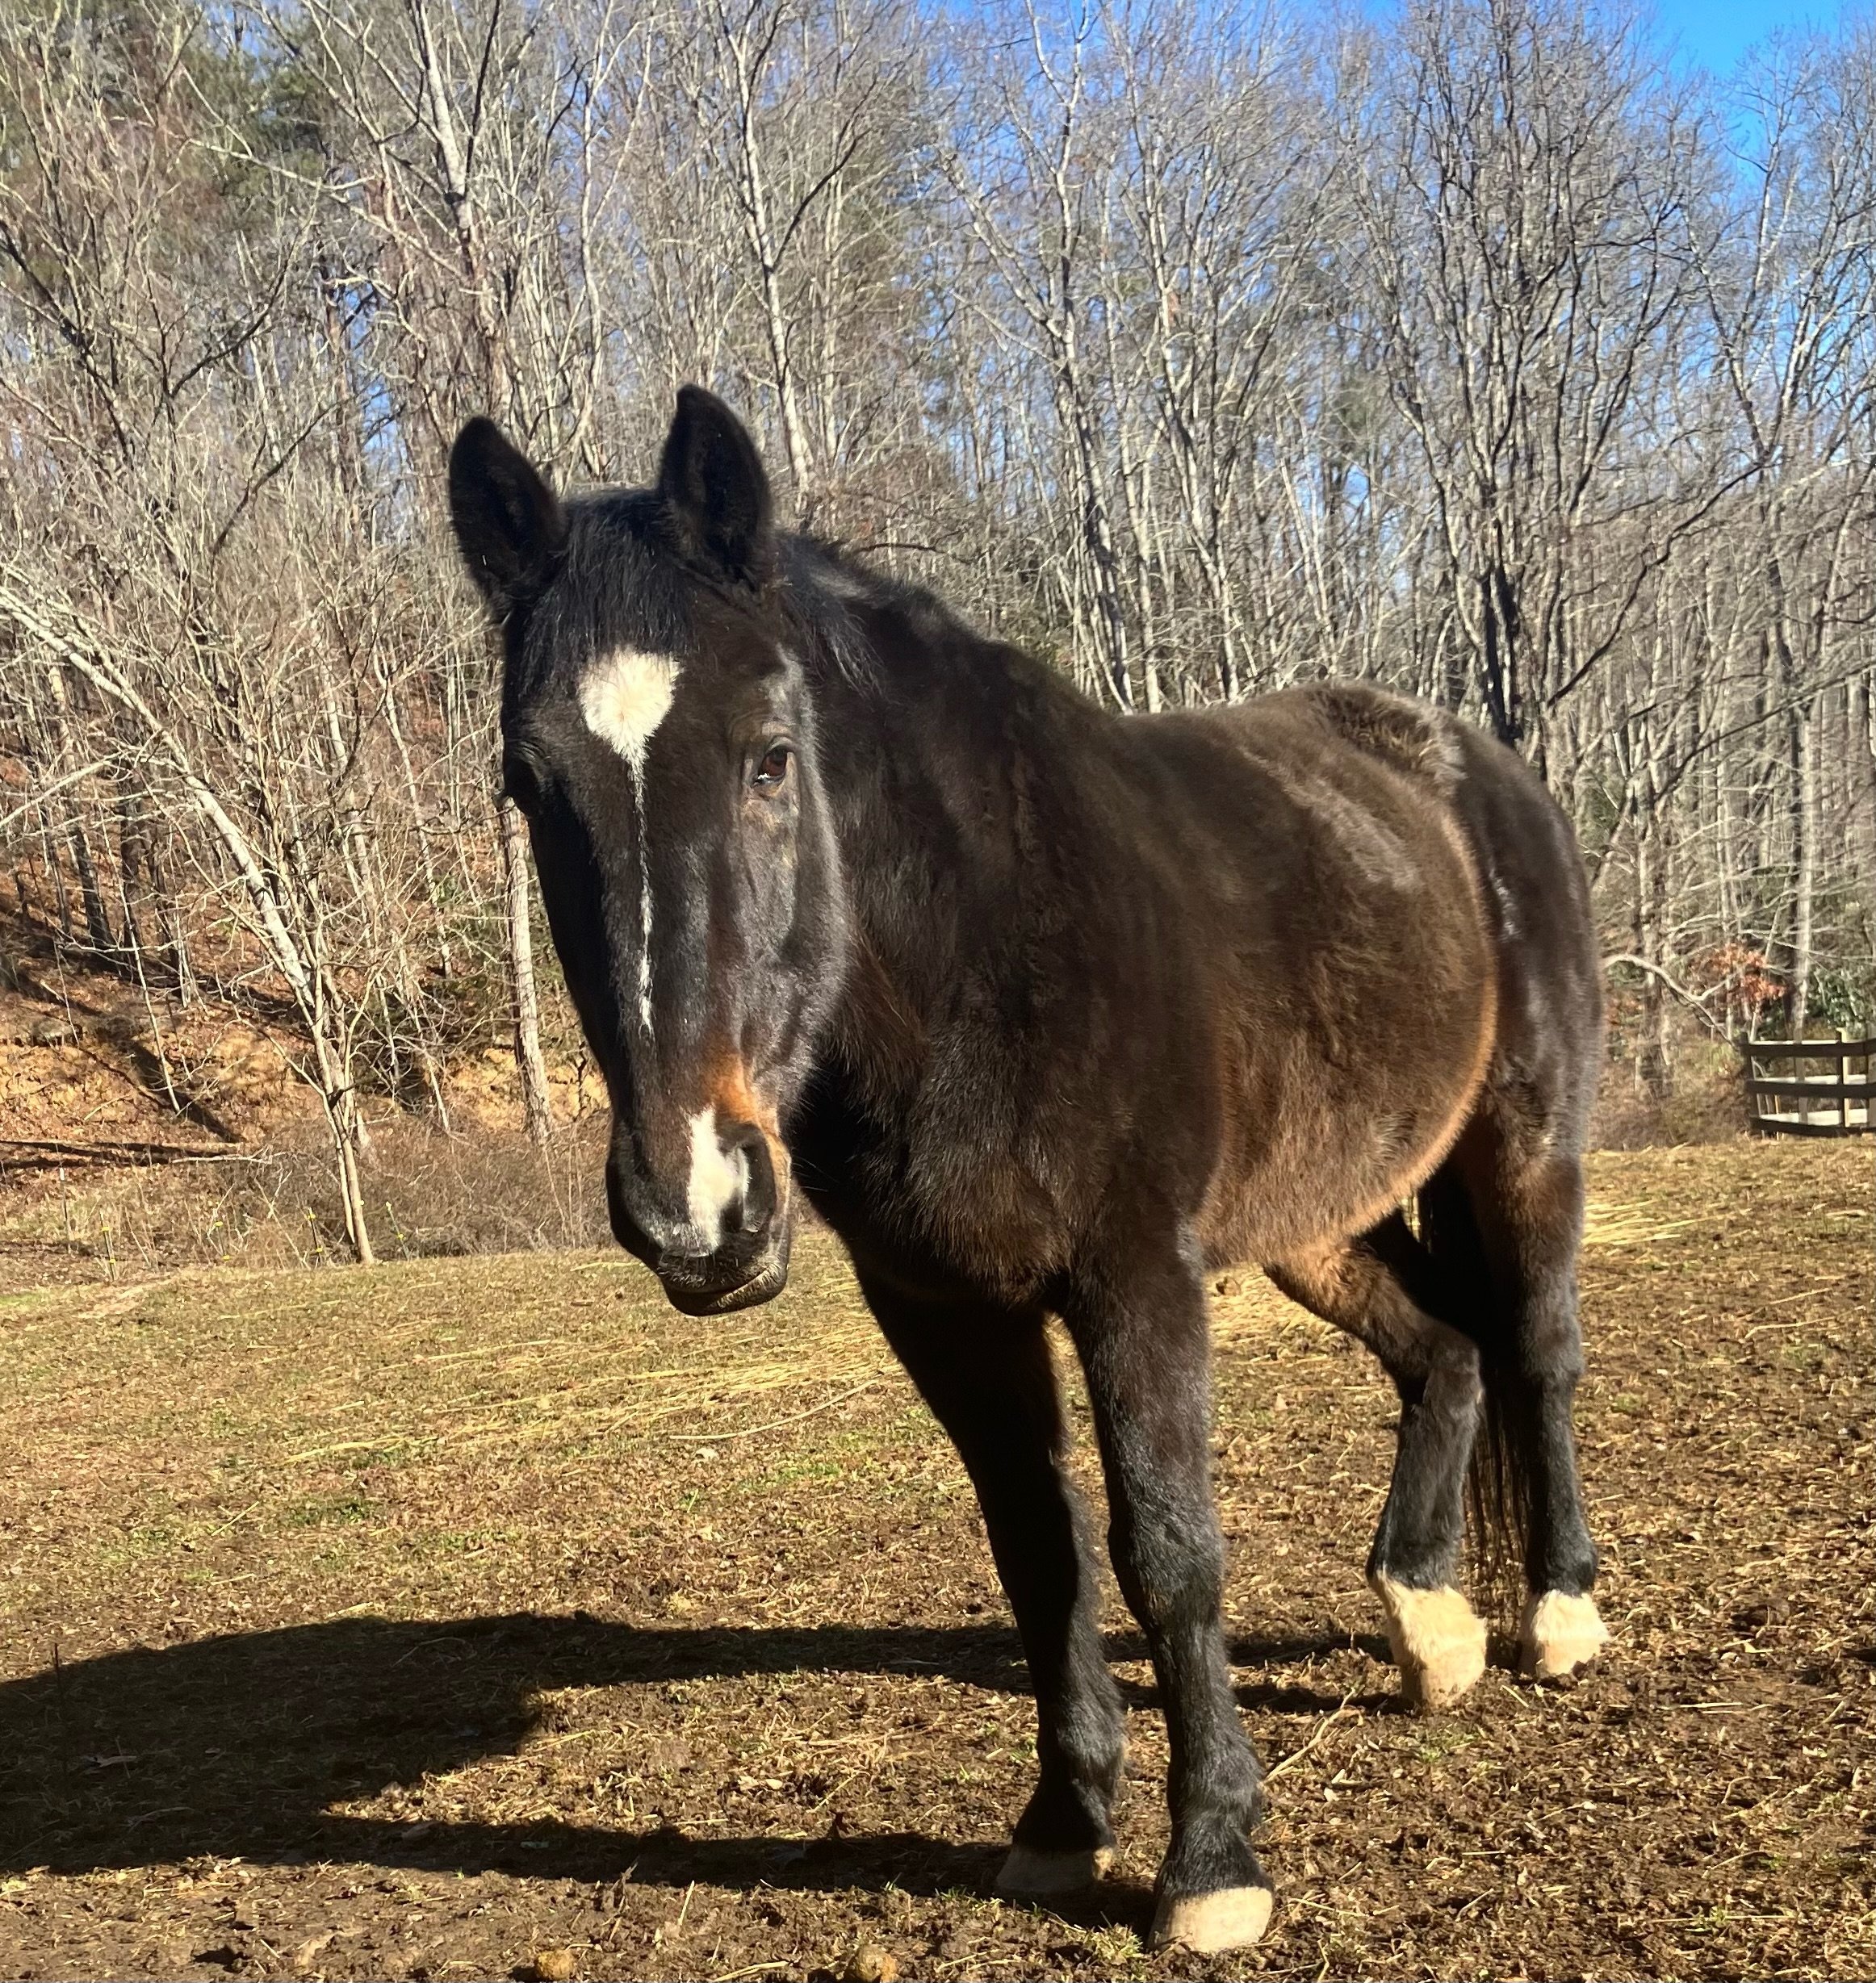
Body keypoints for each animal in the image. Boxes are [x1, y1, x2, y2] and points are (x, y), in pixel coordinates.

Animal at [447, 387, 1609, 1954]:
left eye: (768, 755)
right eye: (528, 786)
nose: (695, 1206)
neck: (983, 949)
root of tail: (1467, 766)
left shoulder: (1134, 1281)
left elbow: (1167, 1551)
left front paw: (1212, 1860)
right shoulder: (945, 1309)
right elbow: (1037, 1554)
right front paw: (1063, 1825)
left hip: (1523, 1144)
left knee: (1535, 1348)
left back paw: (1556, 1618)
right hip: (1313, 1216)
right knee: (1445, 1352)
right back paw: (1430, 1627)